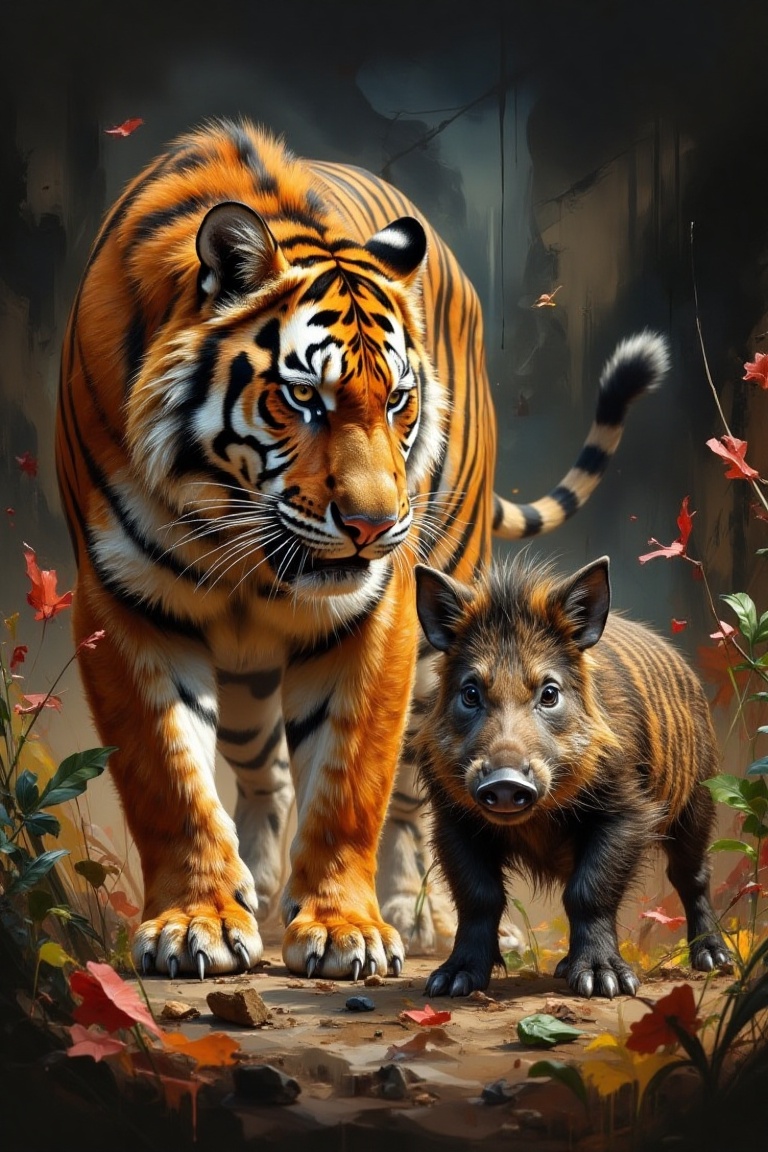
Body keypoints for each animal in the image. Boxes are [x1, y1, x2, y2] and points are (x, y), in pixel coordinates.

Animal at [55, 118, 669, 979]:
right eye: (303, 397)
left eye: (400, 400)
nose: (377, 526)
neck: (231, 516)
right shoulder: (122, 604)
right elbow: (171, 780)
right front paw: (197, 920)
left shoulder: (378, 616)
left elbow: (351, 782)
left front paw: (345, 927)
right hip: (245, 680)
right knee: (267, 775)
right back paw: (259, 893)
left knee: (420, 789)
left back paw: (424, 915)